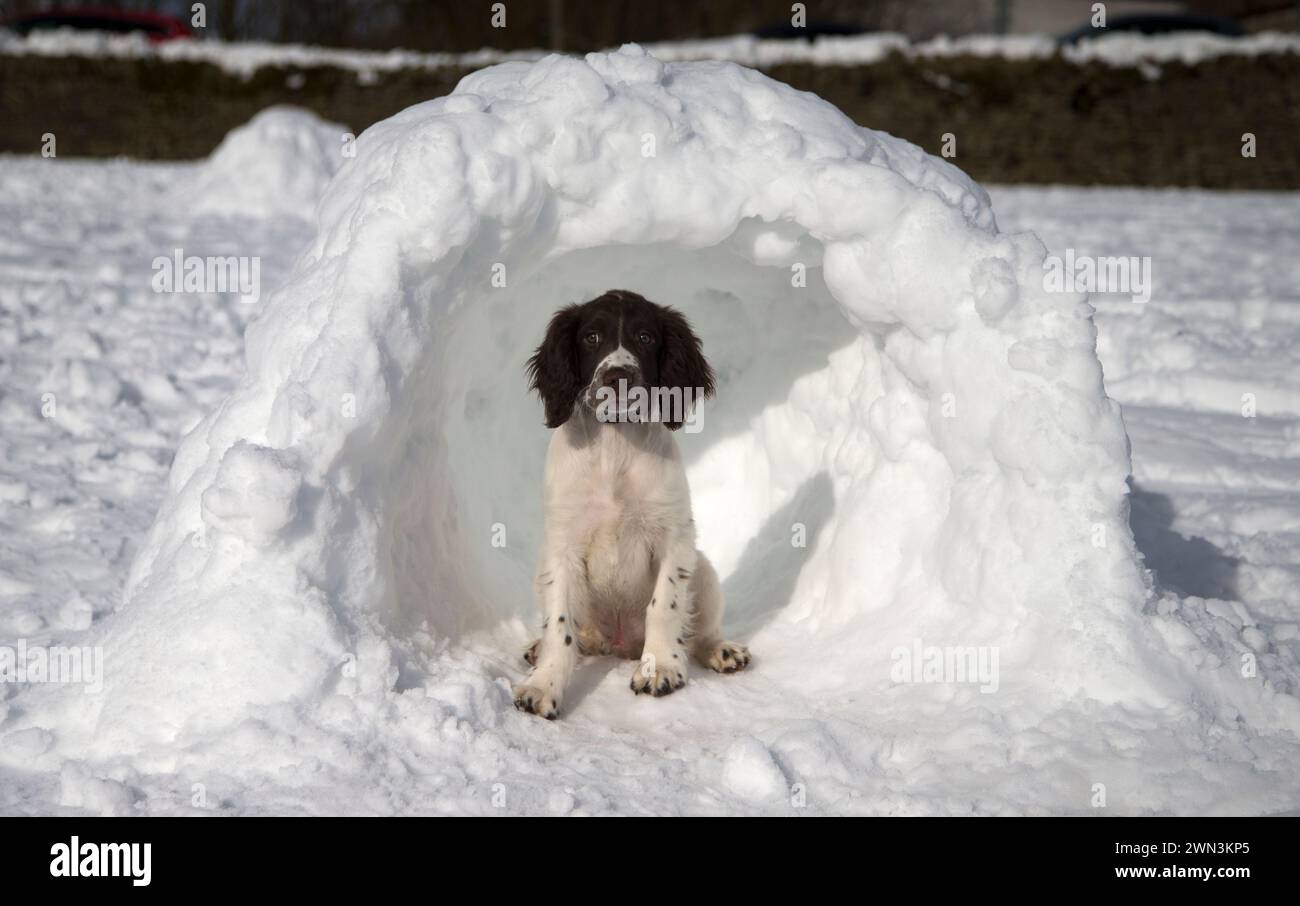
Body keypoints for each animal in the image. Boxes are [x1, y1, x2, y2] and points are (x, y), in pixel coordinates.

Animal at [509, 285, 748, 717]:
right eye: (591, 337)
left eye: (645, 337)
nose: (617, 376)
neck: (615, 445)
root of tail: (618, 647)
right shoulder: (562, 544)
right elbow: (560, 625)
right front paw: (543, 685)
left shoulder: (674, 536)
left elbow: (664, 605)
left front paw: (660, 668)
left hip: (703, 570)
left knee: (698, 631)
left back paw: (720, 650)